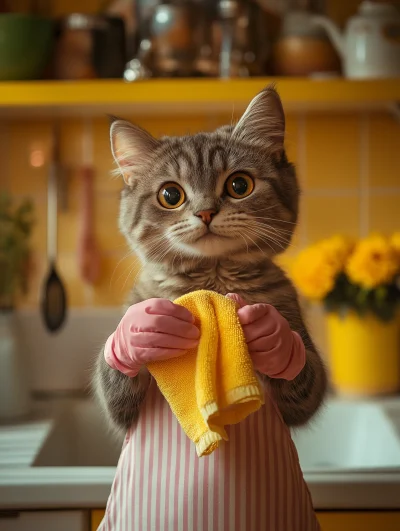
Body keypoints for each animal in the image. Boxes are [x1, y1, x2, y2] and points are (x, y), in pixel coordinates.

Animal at [94, 84, 328, 432]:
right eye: (170, 195)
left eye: (239, 185)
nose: (205, 212)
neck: (212, 279)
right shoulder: (123, 411)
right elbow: (113, 388)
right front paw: (140, 333)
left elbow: (306, 380)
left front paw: (273, 336)